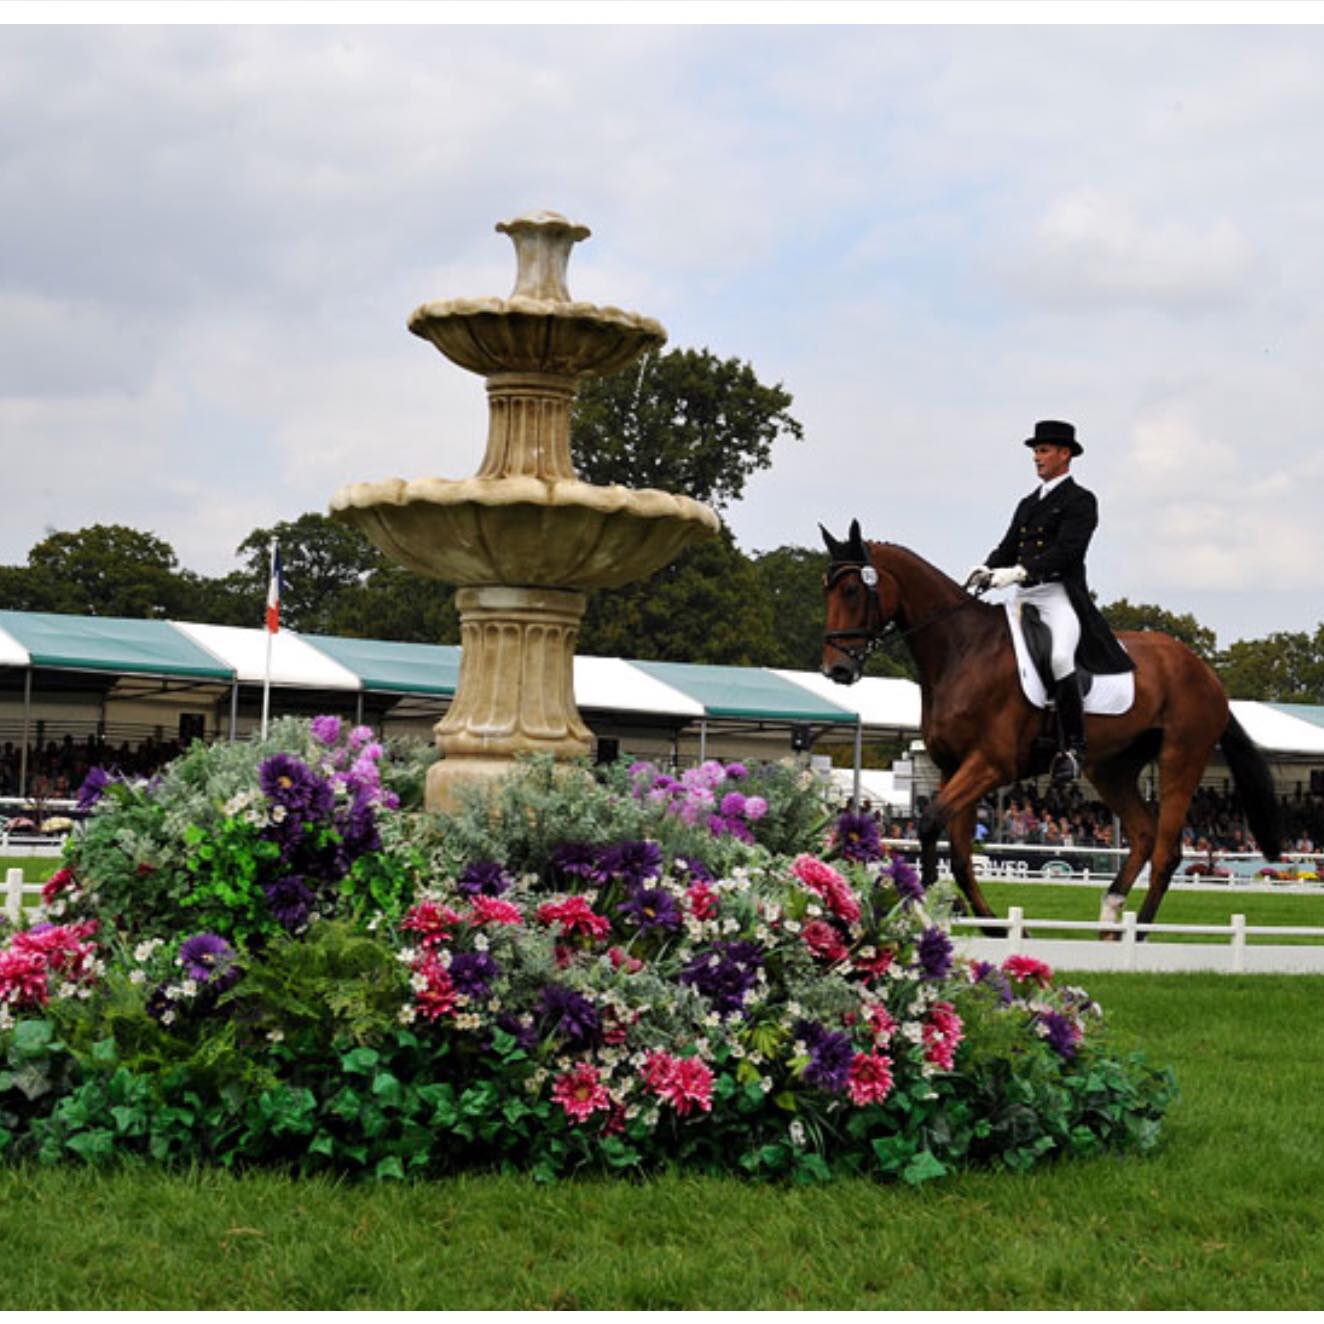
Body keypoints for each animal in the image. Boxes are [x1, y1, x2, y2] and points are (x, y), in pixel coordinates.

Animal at [815, 521, 1281, 937]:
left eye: (852, 590)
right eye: (826, 589)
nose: (836, 670)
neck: (963, 651)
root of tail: (1206, 674)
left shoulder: (990, 765)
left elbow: (931, 824)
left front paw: (927, 908)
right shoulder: (953, 768)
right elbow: (961, 856)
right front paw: (989, 926)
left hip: (1181, 757)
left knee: (1166, 851)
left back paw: (1139, 934)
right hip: (1111, 768)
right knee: (1143, 834)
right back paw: (1110, 917)